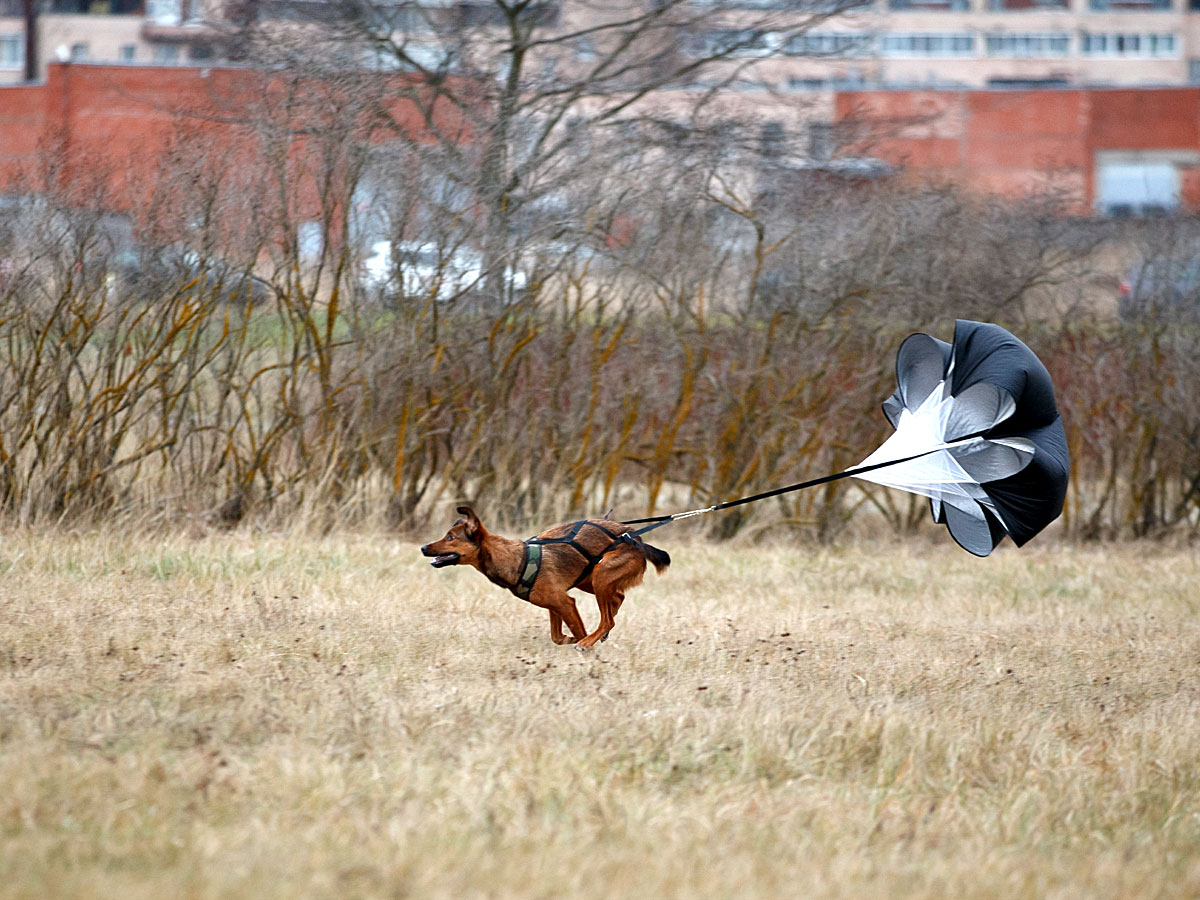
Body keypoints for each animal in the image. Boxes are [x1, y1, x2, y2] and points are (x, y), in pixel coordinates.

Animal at [422, 508, 672, 648]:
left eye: (451, 537)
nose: (424, 548)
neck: (514, 558)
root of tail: (636, 539)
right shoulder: (556, 604)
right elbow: (557, 636)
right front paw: (571, 640)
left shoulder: (565, 603)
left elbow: (576, 631)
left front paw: (584, 645)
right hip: (590, 578)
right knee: (617, 600)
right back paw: (600, 634)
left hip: (600, 575)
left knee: (608, 618)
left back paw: (591, 640)